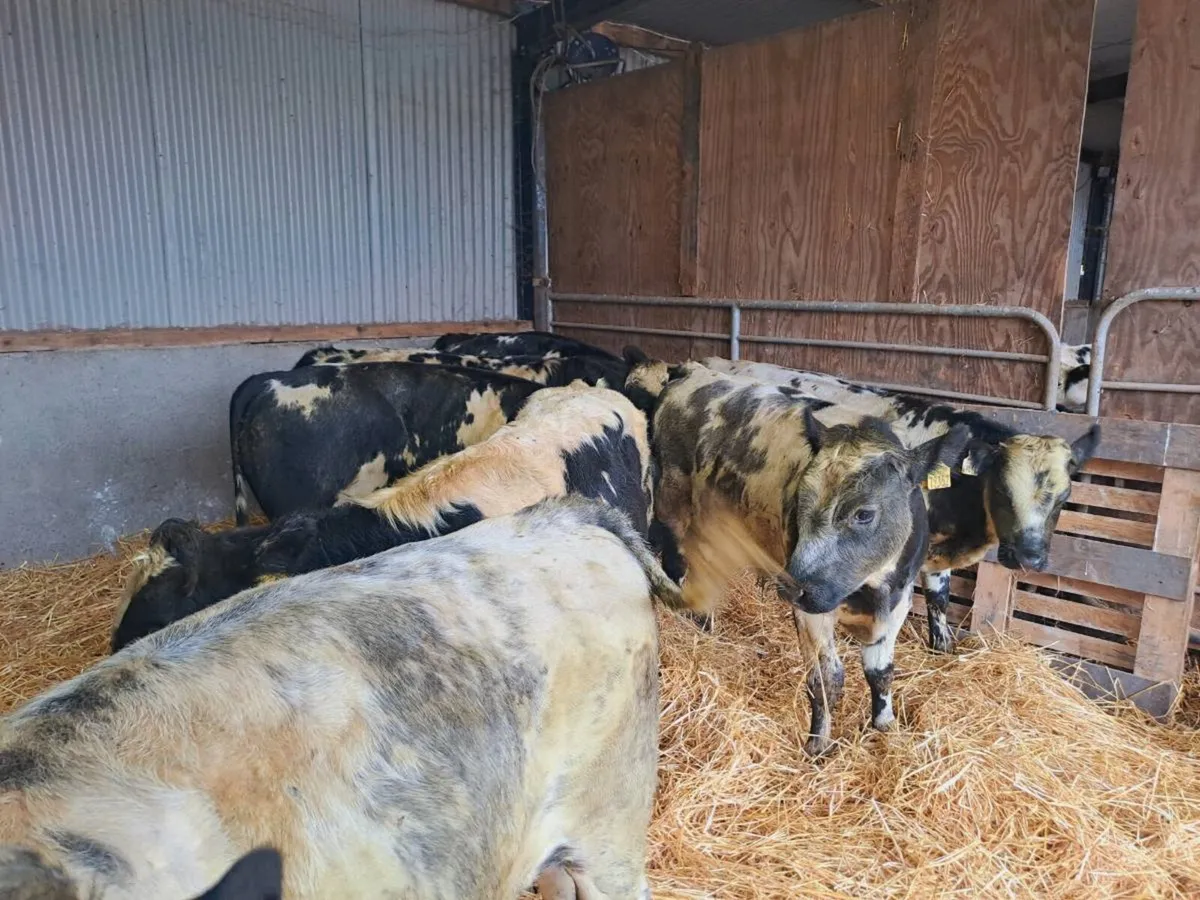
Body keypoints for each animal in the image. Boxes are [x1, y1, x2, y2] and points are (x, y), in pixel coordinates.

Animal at [652, 363, 971, 756]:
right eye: (801, 499)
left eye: (864, 513)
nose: (793, 585)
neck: (871, 587)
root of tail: (692, 371)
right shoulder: (810, 610)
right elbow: (826, 678)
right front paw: (818, 744)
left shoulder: (900, 598)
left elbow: (881, 672)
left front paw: (885, 726)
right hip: (673, 504)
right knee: (679, 561)